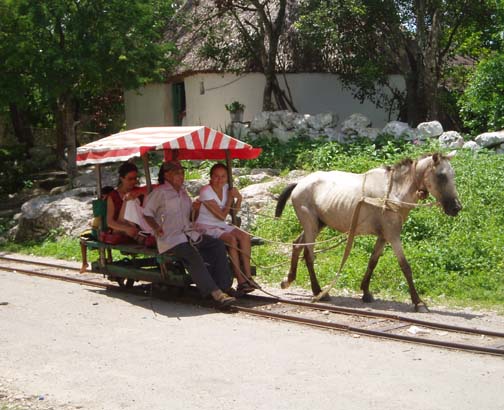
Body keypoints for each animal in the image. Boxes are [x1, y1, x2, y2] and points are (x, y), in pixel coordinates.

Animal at [274, 152, 462, 312]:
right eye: (441, 175)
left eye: (453, 175)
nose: (456, 207)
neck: (393, 192)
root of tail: (299, 184)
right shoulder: (393, 236)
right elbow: (405, 267)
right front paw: (418, 302)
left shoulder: (383, 236)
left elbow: (373, 261)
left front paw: (365, 291)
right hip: (310, 224)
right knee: (308, 255)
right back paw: (318, 291)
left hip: (318, 224)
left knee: (297, 244)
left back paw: (288, 279)